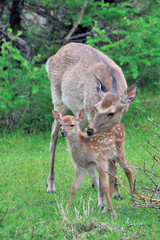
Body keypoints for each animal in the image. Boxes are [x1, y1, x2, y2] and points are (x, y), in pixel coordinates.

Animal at [45, 41, 137, 195]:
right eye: (96, 106)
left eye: (111, 113)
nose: (90, 130)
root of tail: (50, 59)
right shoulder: (90, 110)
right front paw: (113, 191)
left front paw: (116, 192)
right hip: (58, 96)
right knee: (54, 133)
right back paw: (51, 185)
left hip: (79, 112)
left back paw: (94, 182)